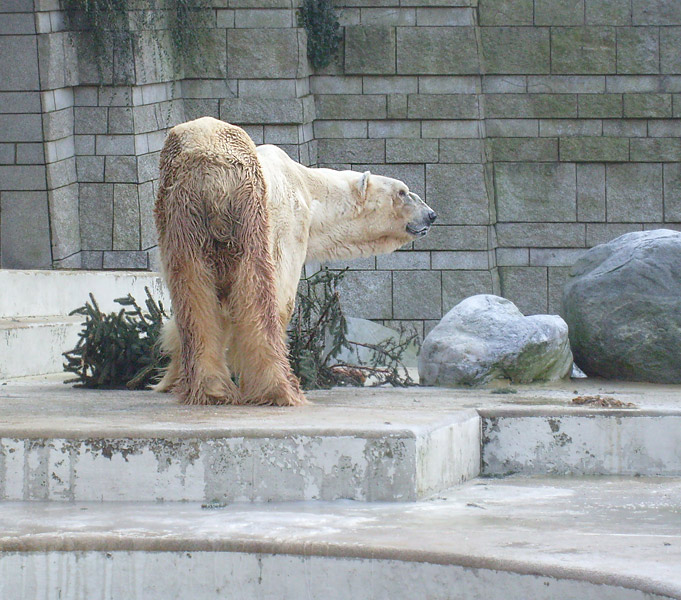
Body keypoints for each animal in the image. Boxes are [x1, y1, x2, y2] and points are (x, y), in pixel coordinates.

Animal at [154, 116, 436, 408]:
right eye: (403, 192)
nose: (431, 215)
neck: (308, 187)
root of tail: (210, 174)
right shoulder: (289, 224)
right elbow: (281, 299)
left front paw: (169, 381)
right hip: (249, 214)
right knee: (258, 296)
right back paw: (278, 389)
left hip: (181, 220)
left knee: (193, 293)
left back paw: (211, 389)